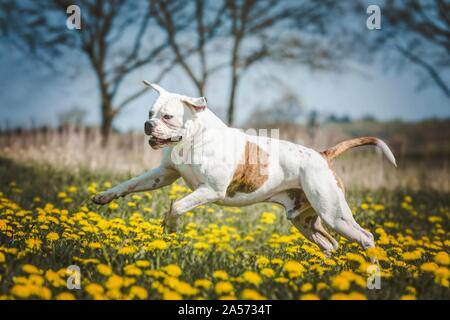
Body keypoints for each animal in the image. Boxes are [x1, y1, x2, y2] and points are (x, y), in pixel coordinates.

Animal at [93, 82, 396, 258]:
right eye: (149, 113)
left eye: (167, 117)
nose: (147, 125)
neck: (193, 139)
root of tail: (323, 155)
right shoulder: (164, 174)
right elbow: (130, 184)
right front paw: (105, 196)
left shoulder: (210, 191)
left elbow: (177, 206)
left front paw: (171, 227)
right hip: (304, 220)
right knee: (329, 244)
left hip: (334, 214)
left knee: (366, 238)